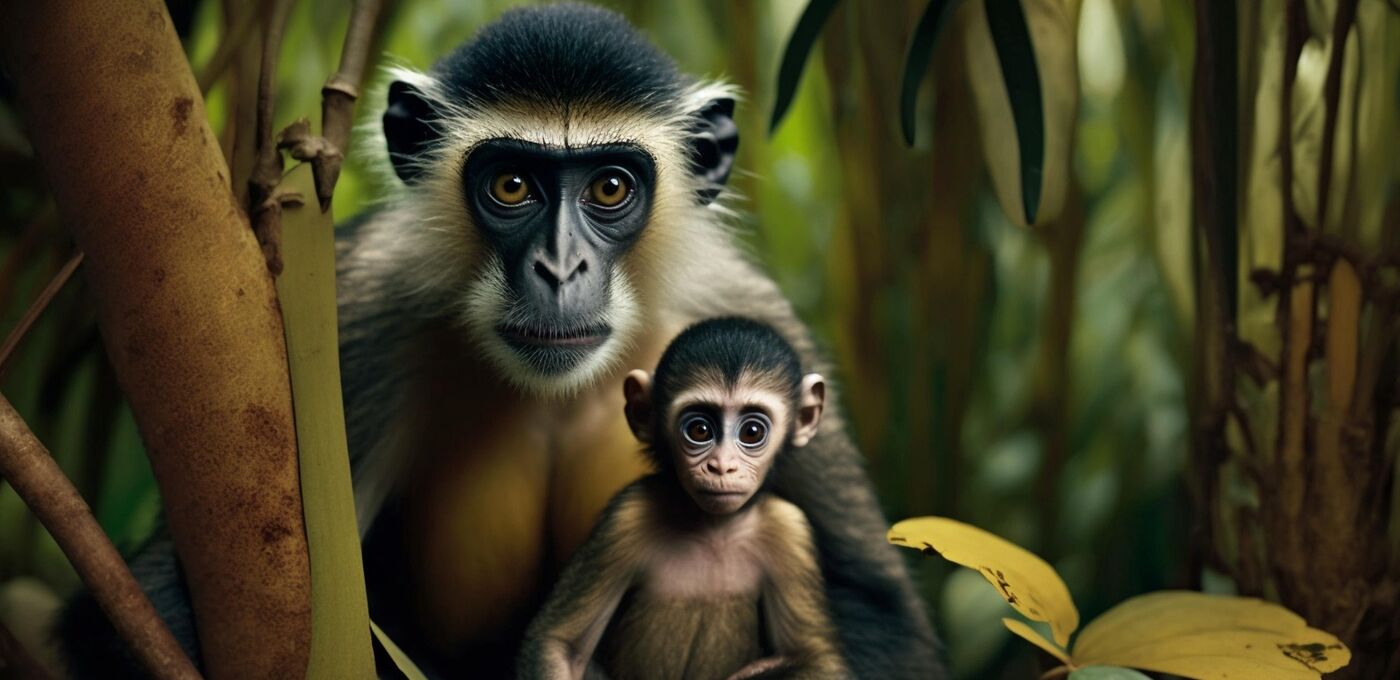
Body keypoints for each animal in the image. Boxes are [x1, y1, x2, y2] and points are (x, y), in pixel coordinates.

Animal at [518, 317, 850, 680]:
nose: (721, 466)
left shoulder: (790, 530)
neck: (713, 528)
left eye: (752, 432)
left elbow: (818, 658)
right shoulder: (626, 517)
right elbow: (561, 645)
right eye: (700, 430)